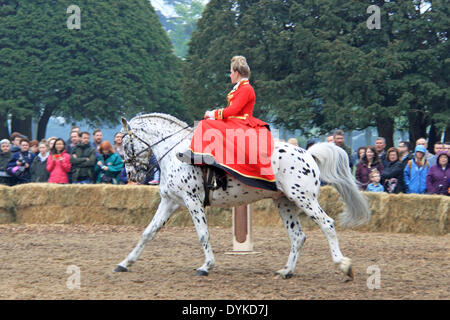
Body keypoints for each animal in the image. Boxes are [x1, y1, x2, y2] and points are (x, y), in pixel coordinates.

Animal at [114, 114, 370, 278]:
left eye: (125, 144)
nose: (132, 174)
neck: (175, 153)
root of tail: (308, 154)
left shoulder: (192, 201)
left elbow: (203, 234)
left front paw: (206, 266)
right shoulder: (170, 201)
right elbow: (148, 233)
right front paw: (125, 263)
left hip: (304, 199)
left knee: (327, 224)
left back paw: (343, 265)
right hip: (285, 203)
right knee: (298, 236)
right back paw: (287, 271)